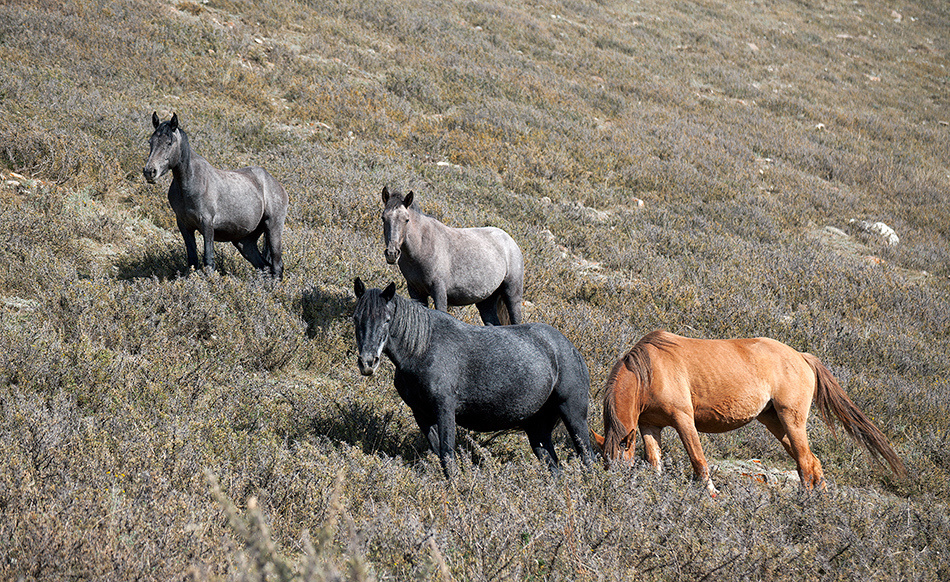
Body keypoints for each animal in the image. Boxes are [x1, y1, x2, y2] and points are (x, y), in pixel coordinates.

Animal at [143, 112, 288, 278]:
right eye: (150, 142)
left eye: (169, 143)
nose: (149, 172)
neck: (190, 182)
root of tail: (276, 184)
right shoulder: (185, 226)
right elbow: (192, 260)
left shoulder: (206, 224)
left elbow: (208, 261)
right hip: (245, 241)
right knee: (264, 267)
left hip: (273, 227)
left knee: (277, 266)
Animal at [353, 278, 594, 476]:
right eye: (356, 318)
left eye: (386, 319)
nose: (368, 363)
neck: (423, 349)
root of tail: (571, 349)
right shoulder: (421, 414)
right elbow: (439, 452)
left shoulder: (445, 409)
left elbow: (447, 454)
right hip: (537, 428)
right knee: (553, 467)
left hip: (573, 414)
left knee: (587, 458)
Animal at [380, 187, 524, 325]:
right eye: (383, 218)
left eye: (406, 219)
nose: (392, 253)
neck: (422, 247)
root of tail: (510, 241)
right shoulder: (416, 292)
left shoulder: (439, 290)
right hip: (486, 300)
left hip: (512, 295)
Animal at [594, 330, 906, 496]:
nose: (611, 491)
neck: (649, 370)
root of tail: (802, 357)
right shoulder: (650, 426)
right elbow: (655, 462)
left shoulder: (683, 420)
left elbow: (698, 460)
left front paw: (711, 495)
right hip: (775, 422)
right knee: (812, 462)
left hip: (791, 419)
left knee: (806, 463)